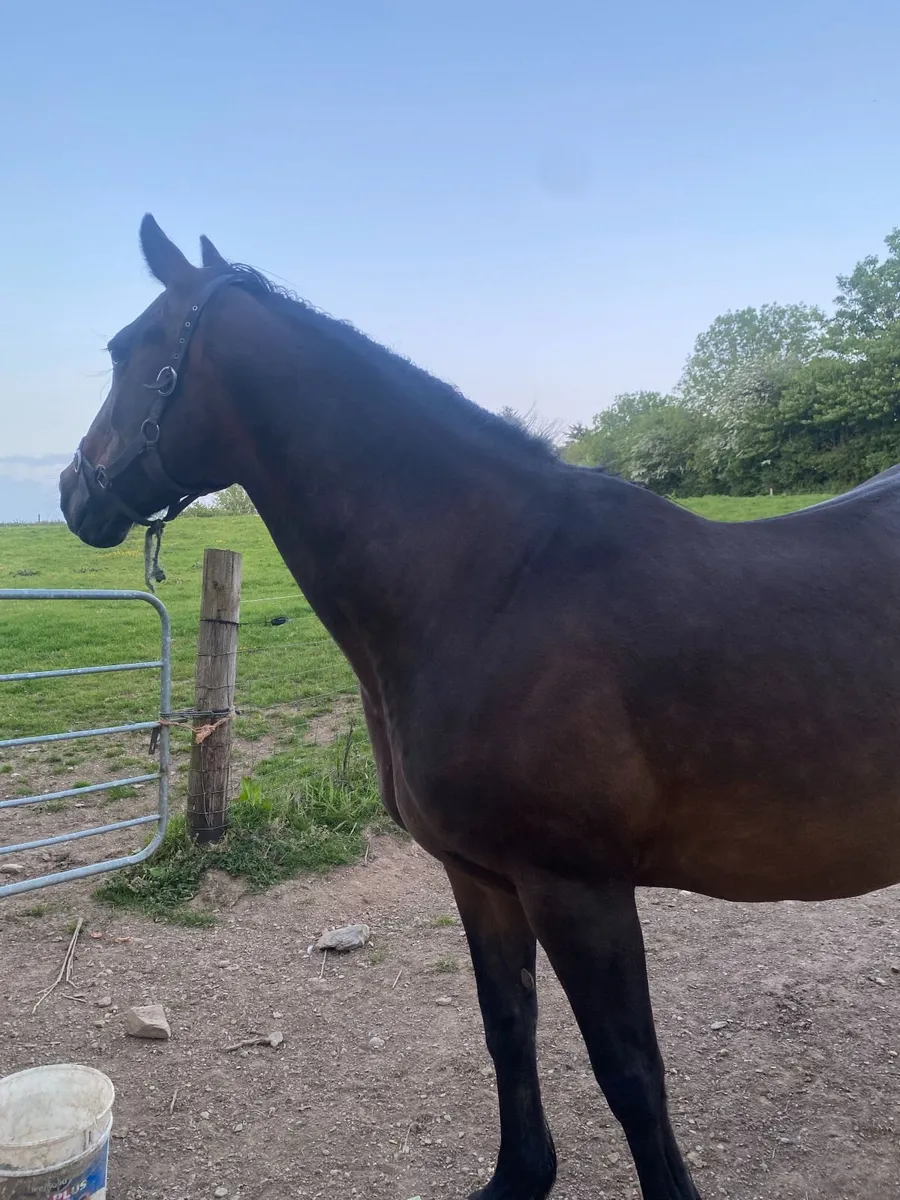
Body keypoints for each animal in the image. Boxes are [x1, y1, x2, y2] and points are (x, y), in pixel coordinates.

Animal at [59, 216, 900, 1200]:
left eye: (125, 350)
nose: (73, 493)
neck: (493, 584)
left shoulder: (579, 890)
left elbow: (631, 1074)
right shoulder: (482, 879)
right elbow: (509, 1033)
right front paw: (520, 1174)